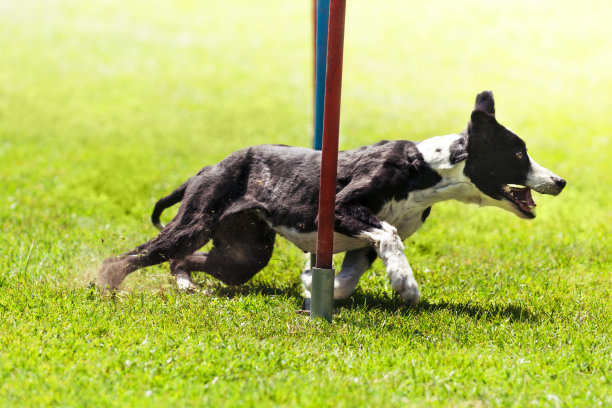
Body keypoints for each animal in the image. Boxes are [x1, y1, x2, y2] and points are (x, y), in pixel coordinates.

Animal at [99, 91, 564, 304]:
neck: (426, 168)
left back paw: (186, 285)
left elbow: (348, 278)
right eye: (518, 154)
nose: (559, 181)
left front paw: (314, 286)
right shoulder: (342, 210)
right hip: (196, 221)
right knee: (127, 258)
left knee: (183, 260)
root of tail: (206, 169)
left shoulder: (362, 244)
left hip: (242, 253)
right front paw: (406, 283)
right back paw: (104, 289)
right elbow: (391, 234)